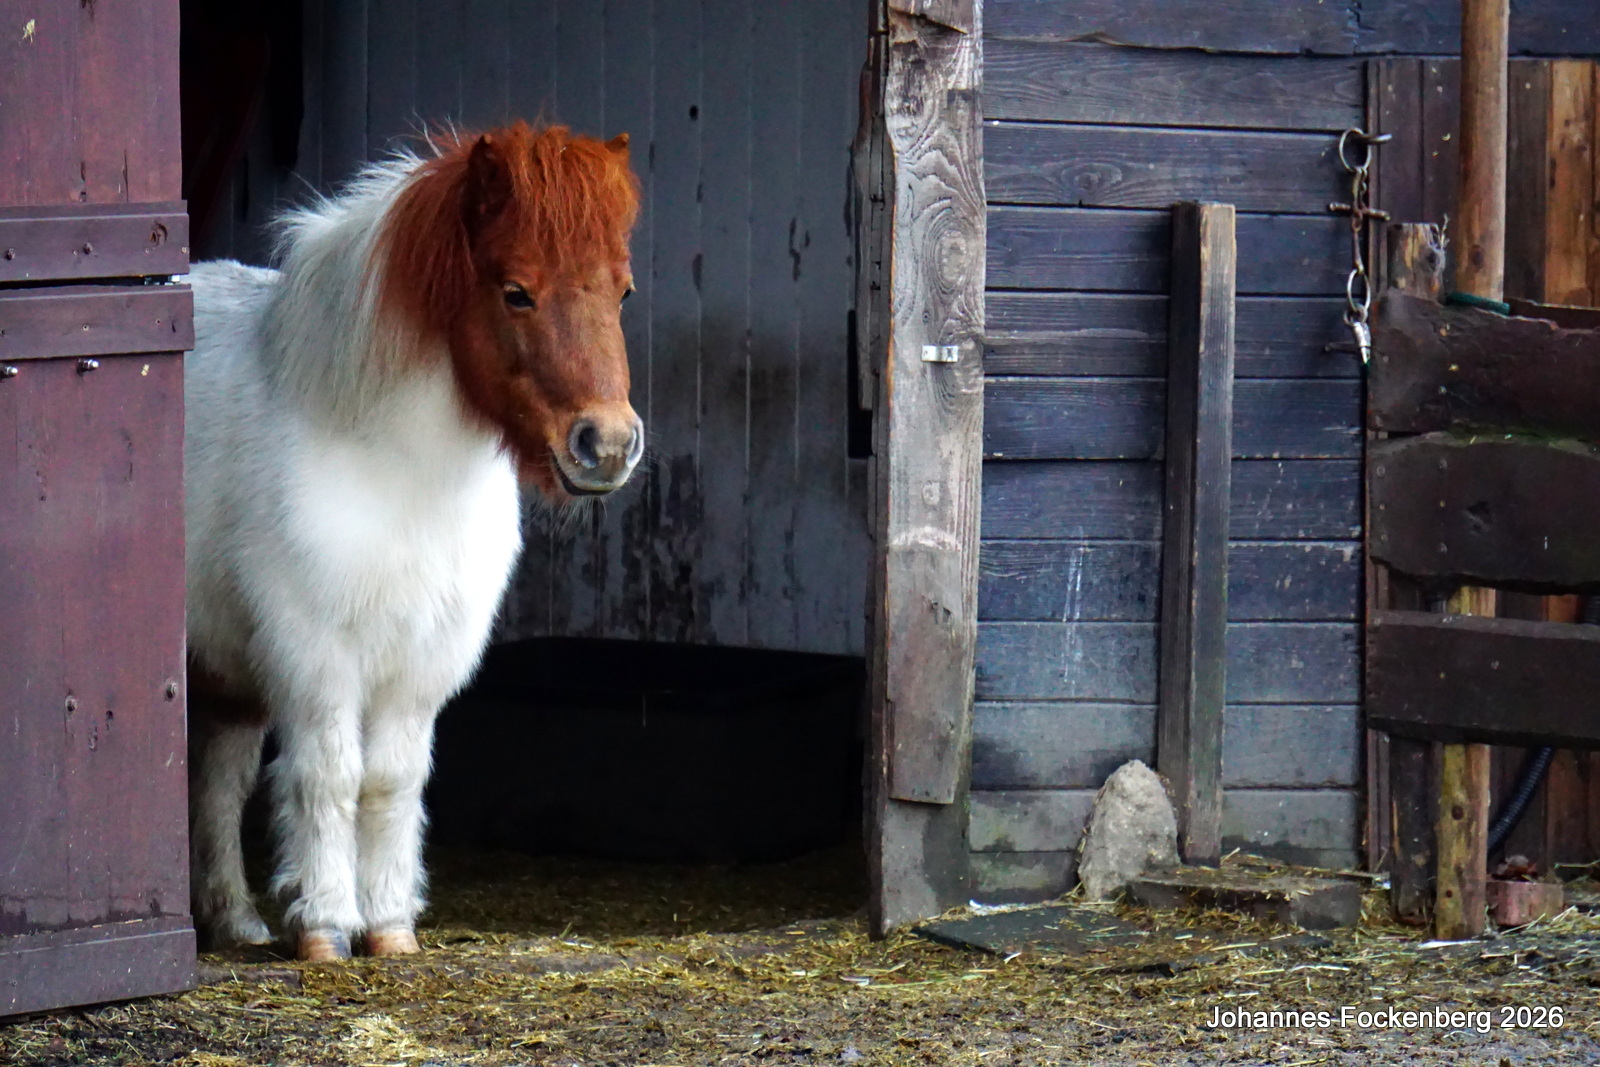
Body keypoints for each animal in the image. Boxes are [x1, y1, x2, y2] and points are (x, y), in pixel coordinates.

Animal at [183, 122, 642, 961]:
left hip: (232, 679)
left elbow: (391, 780)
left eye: (621, 291)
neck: (394, 465)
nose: (608, 445)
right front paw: (326, 926)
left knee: (220, 783)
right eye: (516, 290)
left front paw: (391, 926)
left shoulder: (422, 661)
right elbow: (331, 777)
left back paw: (236, 919)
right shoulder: (317, 658)